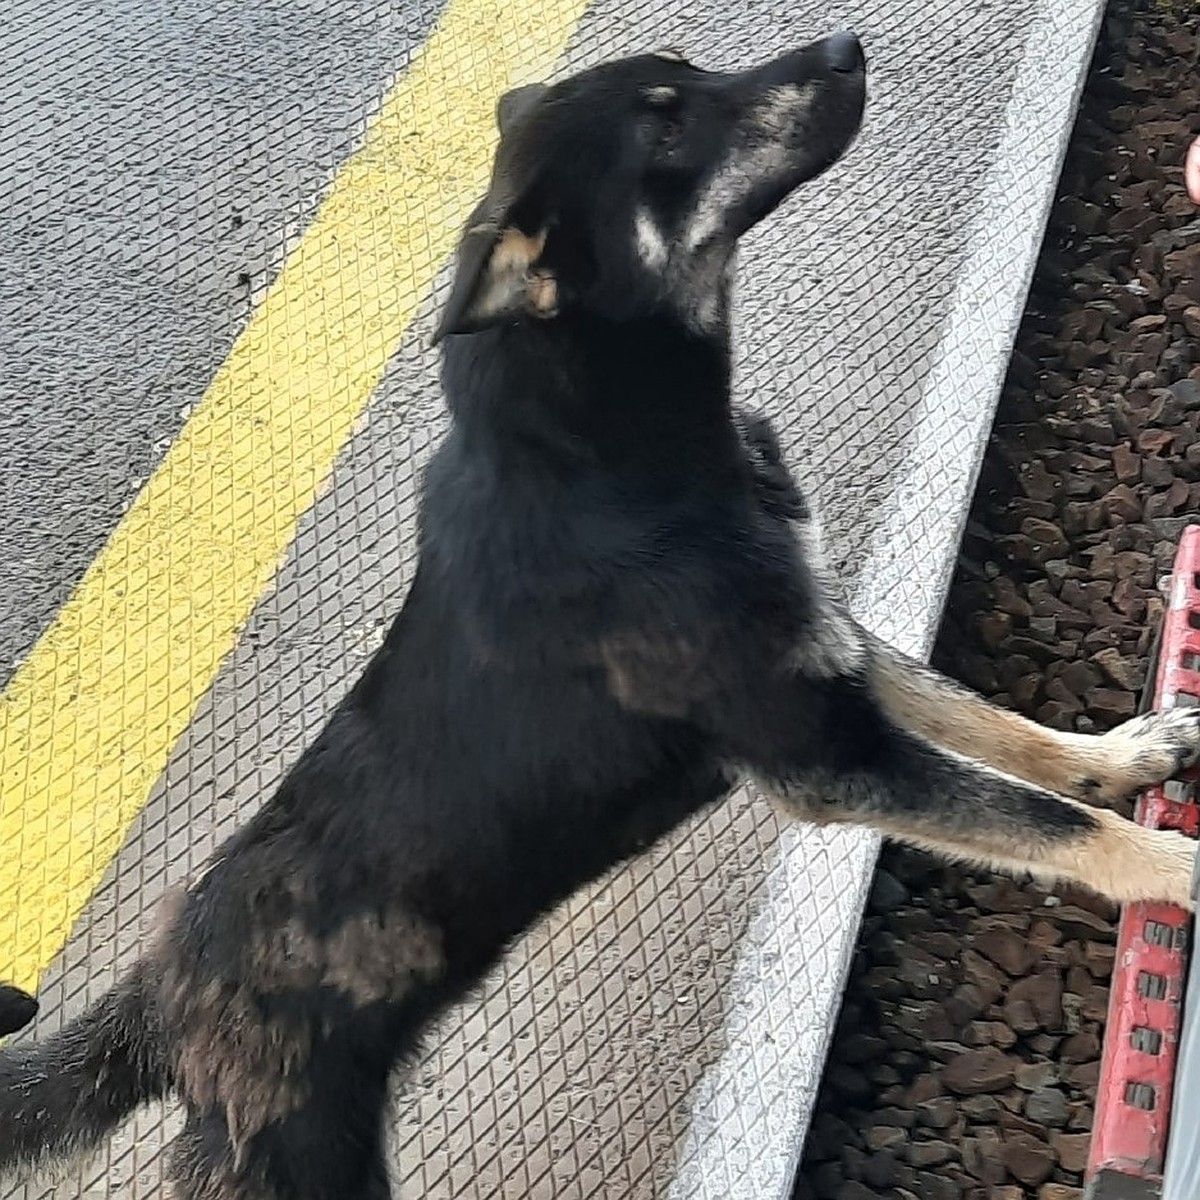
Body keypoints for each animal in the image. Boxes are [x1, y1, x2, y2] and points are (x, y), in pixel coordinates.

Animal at [2, 32, 1200, 1195]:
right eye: (665, 124)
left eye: (692, 72)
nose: (849, 45)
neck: (616, 457)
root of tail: (157, 999)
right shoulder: (819, 756)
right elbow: (1045, 823)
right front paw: (1174, 866)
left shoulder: (824, 646)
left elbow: (995, 733)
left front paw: (1122, 755)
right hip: (301, 1158)